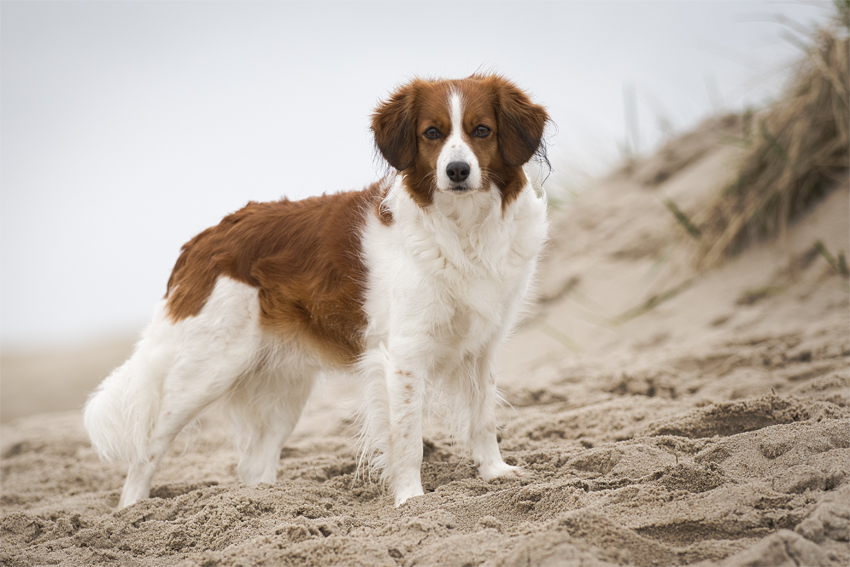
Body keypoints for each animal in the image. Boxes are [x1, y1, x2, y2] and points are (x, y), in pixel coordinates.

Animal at [84, 73, 548, 508]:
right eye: (431, 133)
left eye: (482, 130)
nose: (457, 171)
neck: (463, 228)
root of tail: (207, 236)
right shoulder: (403, 354)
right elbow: (408, 438)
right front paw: (411, 499)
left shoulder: (482, 347)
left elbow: (483, 416)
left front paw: (495, 473)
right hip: (206, 369)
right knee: (148, 448)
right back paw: (132, 510)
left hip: (283, 386)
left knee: (253, 466)